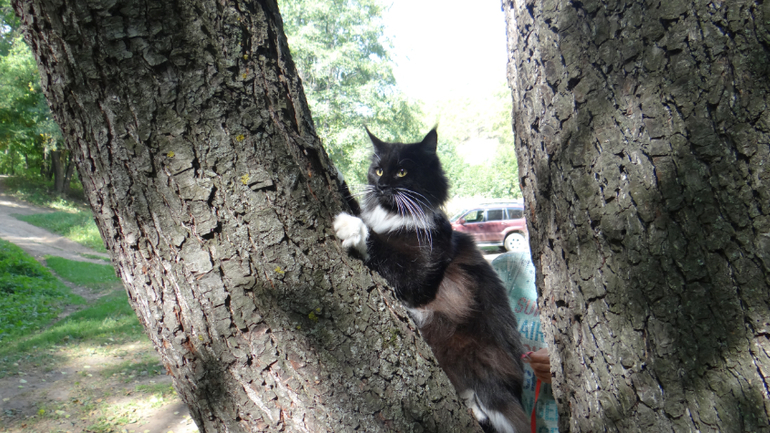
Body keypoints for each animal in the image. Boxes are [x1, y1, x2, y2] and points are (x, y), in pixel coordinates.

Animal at [333, 128, 529, 433]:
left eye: (402, 172)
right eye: (378, 170)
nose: (382, 186)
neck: (394, 215)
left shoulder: (421, 268)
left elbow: (382, 247)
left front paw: (353, 226)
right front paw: (337, 172)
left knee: (478, 399)